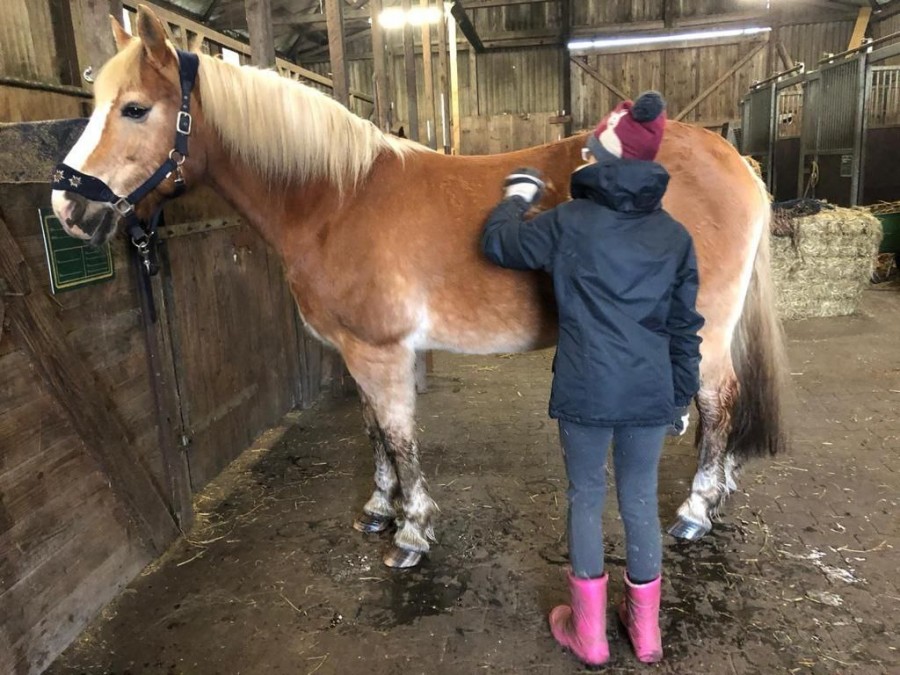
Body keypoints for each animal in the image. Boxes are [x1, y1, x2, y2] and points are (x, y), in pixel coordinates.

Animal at [49, 6, 784, 572]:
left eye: (135, 108)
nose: (67, 208)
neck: (336, 198)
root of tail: (733, 159)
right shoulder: (355, 350)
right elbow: (375, 429)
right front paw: (380, 508)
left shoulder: (380, 350)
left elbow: (399, 435)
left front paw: (411, 530)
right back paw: (716, 488)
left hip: (705, 326)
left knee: (719, 400)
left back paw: (695, 509)